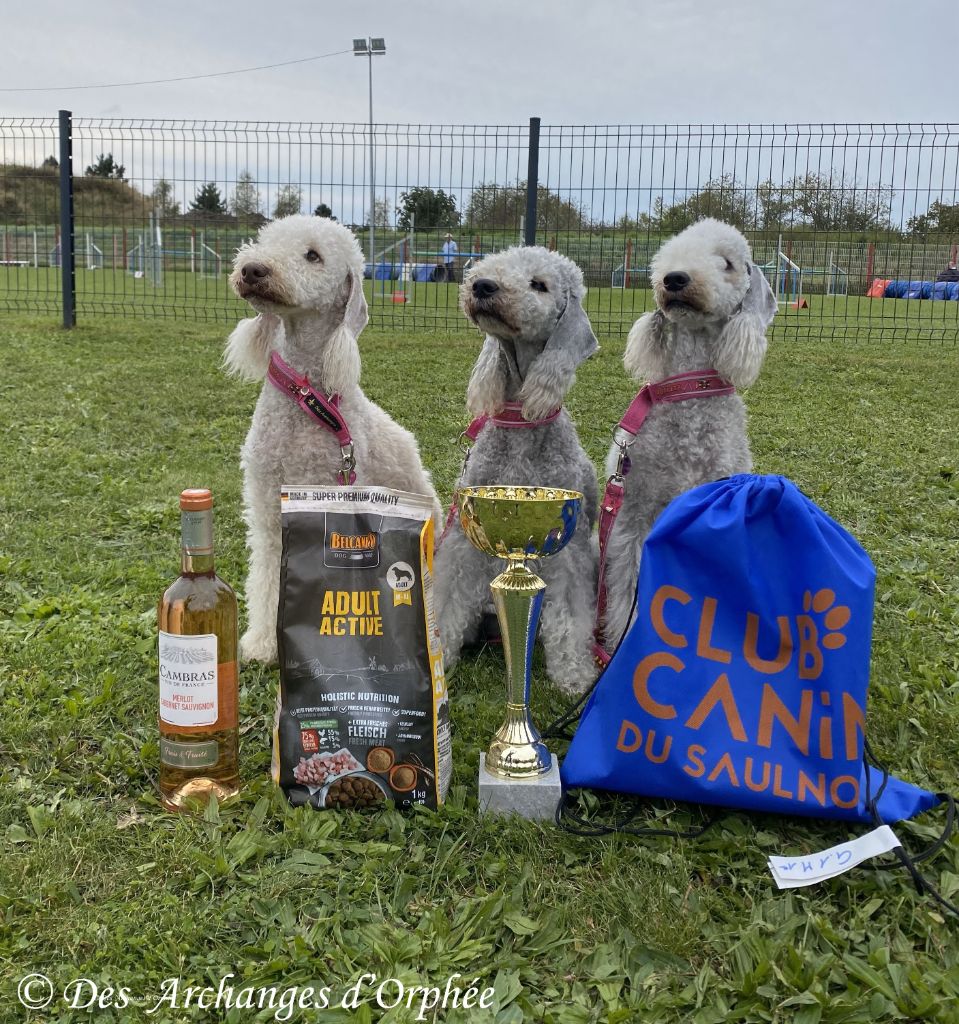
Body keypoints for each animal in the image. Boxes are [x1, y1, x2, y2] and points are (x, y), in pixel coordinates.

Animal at [224, 215, 442, 663]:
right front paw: (263, 643)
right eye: (265, 241)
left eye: (313, 255)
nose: (252, 270)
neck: (307, 398)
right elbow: (267, 573)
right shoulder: (267, 507)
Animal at [433, 245, 597, 696]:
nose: (482, 286)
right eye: (493, 264)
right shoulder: (464, 540)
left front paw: (574, 674)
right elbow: (447, 600)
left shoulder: (569, 548)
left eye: (539, 284)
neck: (520, 424)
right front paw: (436, 658)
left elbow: (571, 616)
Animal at [597, 220, 777, 659]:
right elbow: (628, 588)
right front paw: (626, 641)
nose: (674, 278)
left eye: (727, 263)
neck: (688, 392)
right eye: (666, 257)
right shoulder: (634, 517)